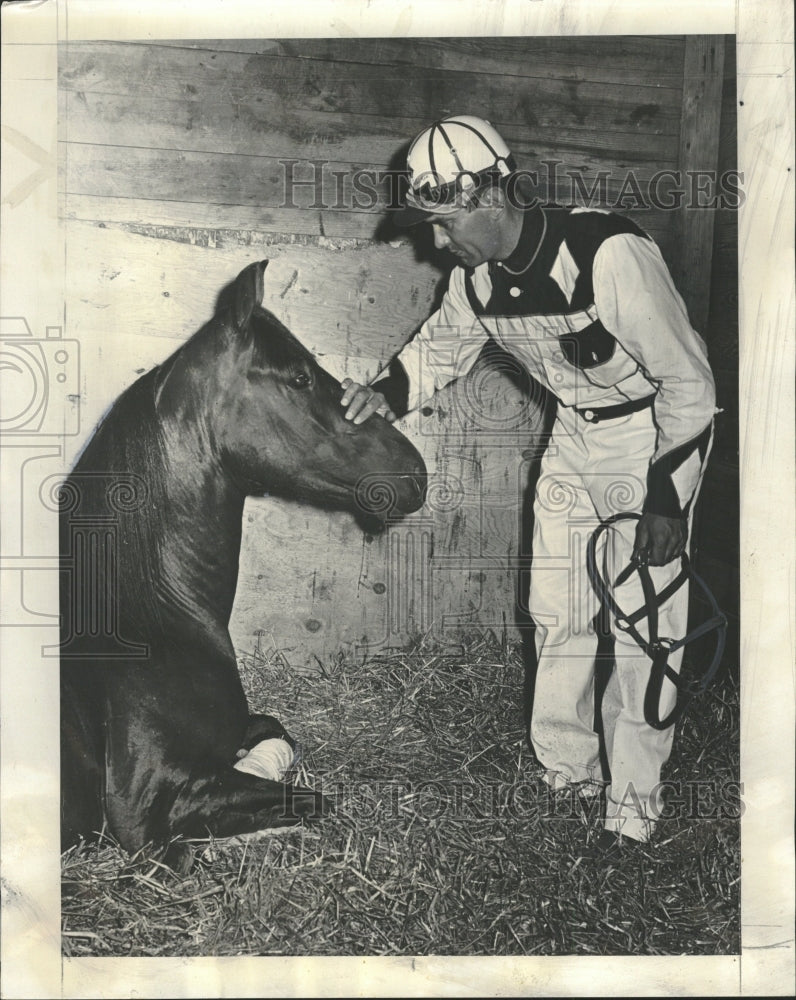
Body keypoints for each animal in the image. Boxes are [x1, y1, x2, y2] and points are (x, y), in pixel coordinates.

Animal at [60, 258, 430, 860]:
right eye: (300, 377)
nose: (415, 471)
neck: (143, 617)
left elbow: (274, 731)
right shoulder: (140, 814)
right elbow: (307, 800)